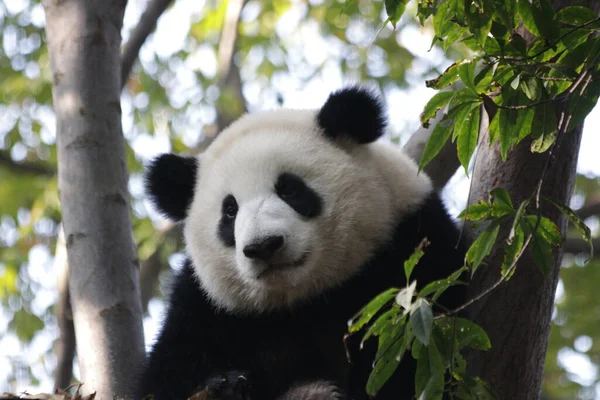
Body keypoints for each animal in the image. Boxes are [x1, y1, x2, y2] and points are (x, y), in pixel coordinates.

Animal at [138, 87, 466, 400]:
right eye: (229, 210)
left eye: (290, 189)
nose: (263, 245)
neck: (306, 298)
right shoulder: (206, 307)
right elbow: (167, 375)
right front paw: (225, 386)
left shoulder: (413, 239)